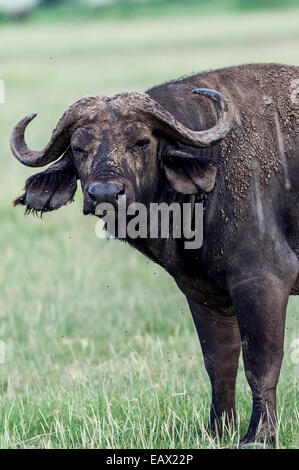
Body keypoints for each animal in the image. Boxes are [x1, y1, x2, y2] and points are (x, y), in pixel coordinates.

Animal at [10, 64, 298, 446]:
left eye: (142, 142)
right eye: (78, 148)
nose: (105, 193)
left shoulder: (263, 279)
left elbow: (260, 363)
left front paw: (259, 435)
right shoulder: (204, 295)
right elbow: (219, 363)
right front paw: (218, 429)